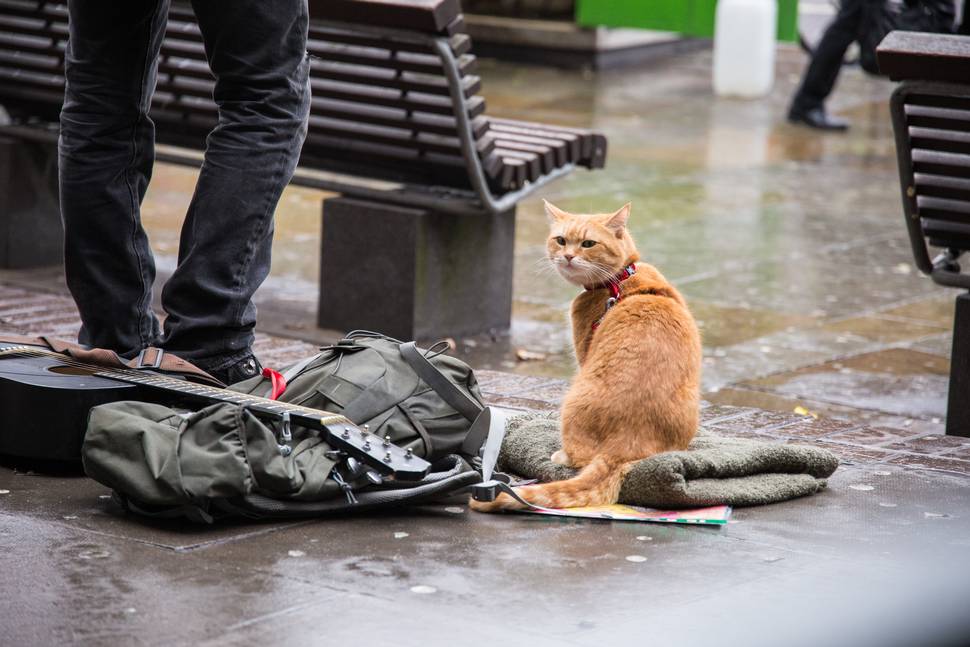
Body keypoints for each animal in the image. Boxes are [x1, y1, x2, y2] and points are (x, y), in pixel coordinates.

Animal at [466, 200, 696, 512]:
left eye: (588, 244)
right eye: (561, 240)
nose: (567, 256)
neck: (621, 279)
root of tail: (626, 443)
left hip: (574, 398)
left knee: (580, 459)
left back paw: (560, 455)